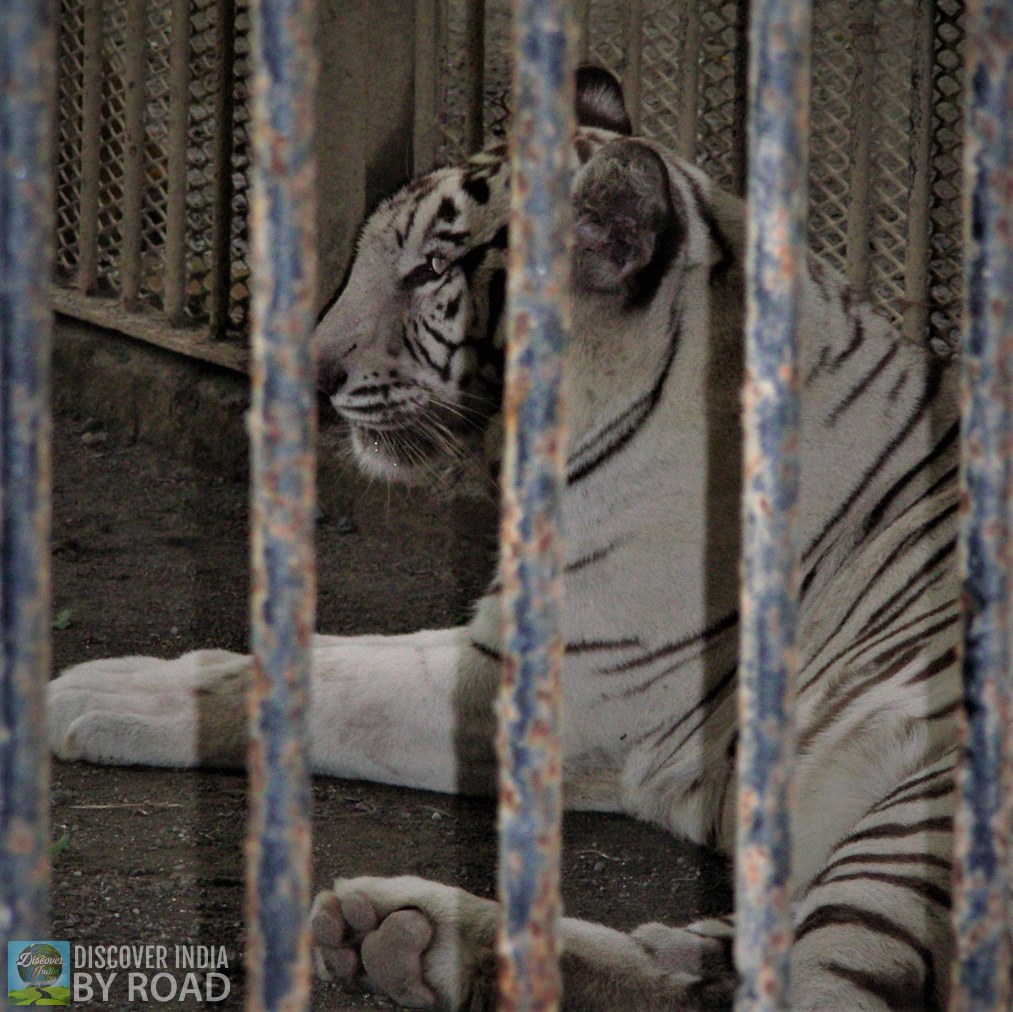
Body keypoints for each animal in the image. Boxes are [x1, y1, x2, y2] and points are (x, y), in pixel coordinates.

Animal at [47, 69, 964, 1004]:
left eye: (430, 269)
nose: (309, 374)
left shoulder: (557, 671)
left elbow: (330, 686)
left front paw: (95, 695)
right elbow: (321, 651)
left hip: (916, 817)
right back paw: (402, 933)